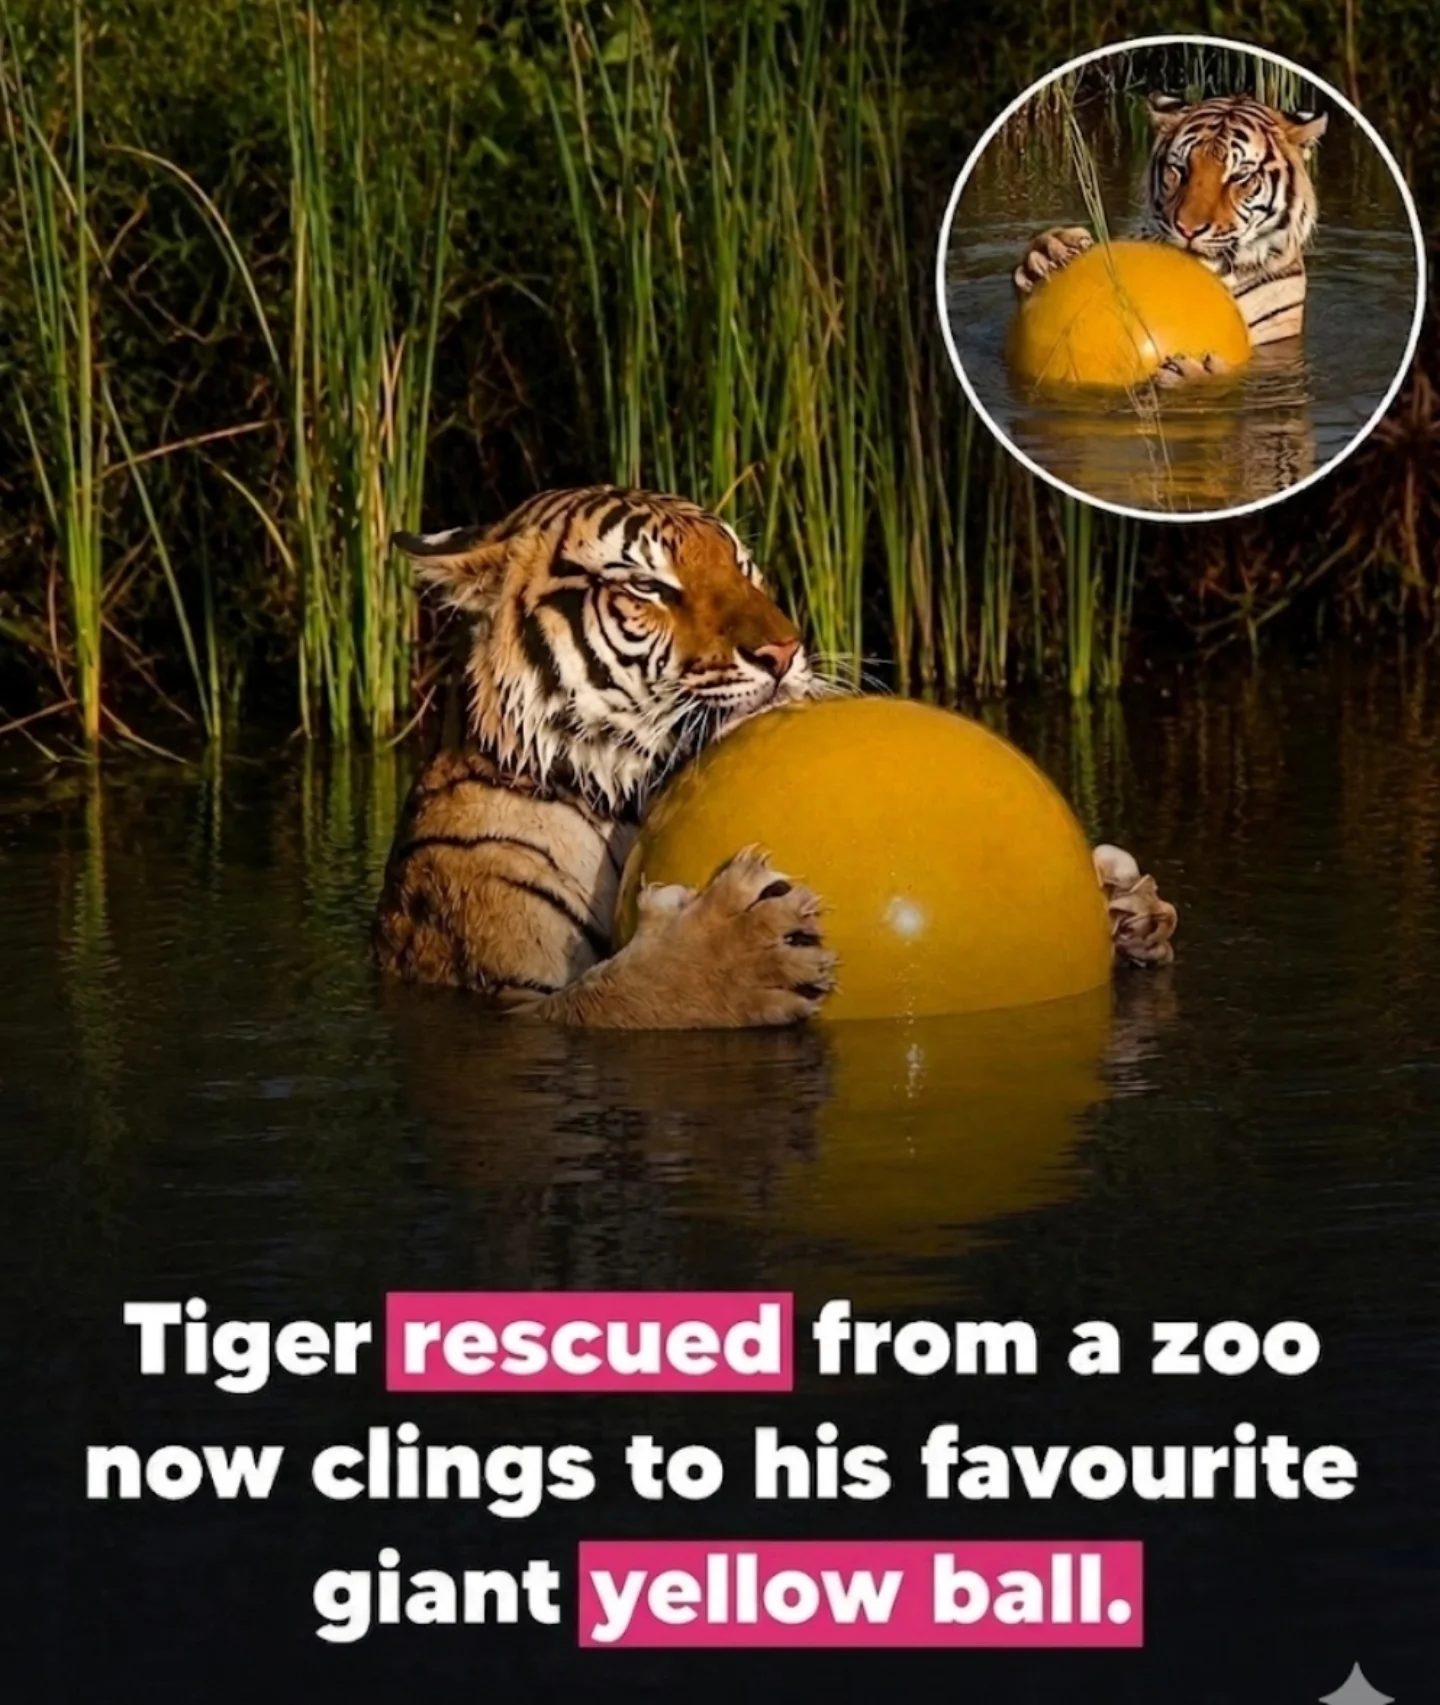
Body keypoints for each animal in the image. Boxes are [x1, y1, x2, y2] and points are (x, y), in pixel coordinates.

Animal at [373, 486, 1177, 1029]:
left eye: (745, 569)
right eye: (649, 586)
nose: (785, 651)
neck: (625, 800)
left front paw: (1126, 901)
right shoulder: (513, 1001)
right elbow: (614, 994)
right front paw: (742, 947)